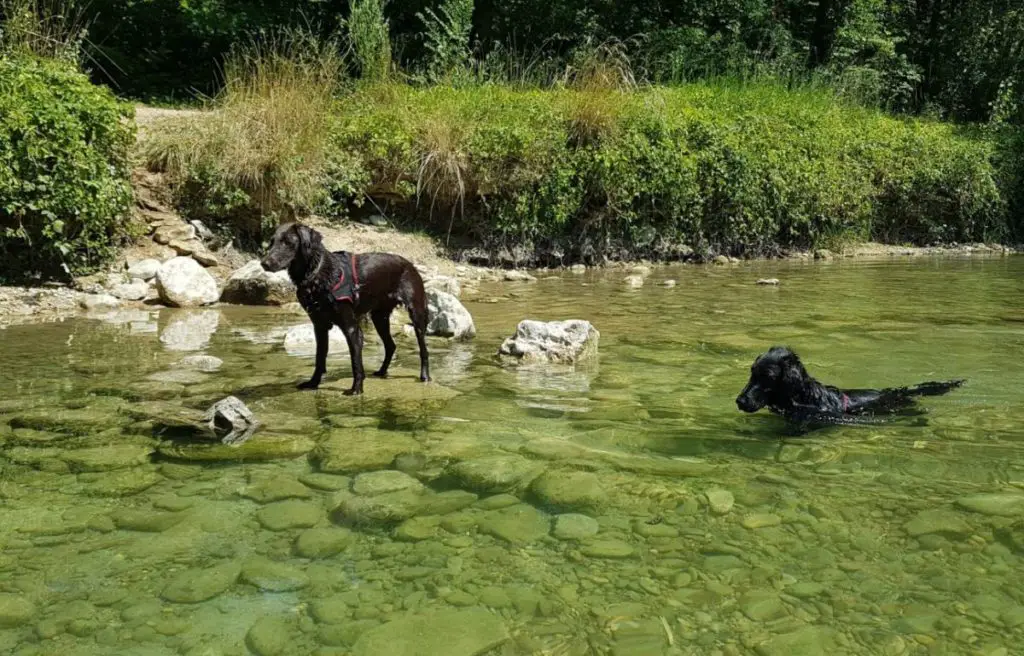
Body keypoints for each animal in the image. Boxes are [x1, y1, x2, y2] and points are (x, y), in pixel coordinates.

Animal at [262, 224, 430, 392]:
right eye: (271, 242)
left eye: (288, 242)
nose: (264, 263)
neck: (317, 274)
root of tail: (410, 264)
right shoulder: (319, 326)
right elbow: (319, 358)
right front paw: (313, 383)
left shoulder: (351, 328)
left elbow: (355, 362)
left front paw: (356, 389)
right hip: (379, 317)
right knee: (391, 346)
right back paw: (382, 371)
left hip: (416, 314)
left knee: (423, 349)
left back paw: (425, 376)